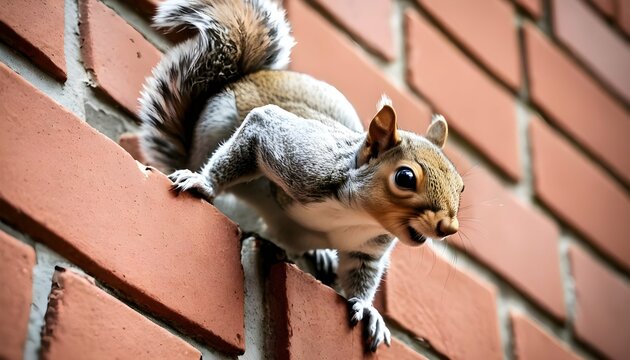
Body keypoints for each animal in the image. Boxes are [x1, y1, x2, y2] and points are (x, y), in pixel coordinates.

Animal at [138, 0, 464, 352]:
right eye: (405, 178)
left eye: (461, 186)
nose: (448, 228)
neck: (356, 214)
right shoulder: (301, 158)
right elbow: (261, 124)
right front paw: (204, 182)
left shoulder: (366, 248)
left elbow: (362, 273)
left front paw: (368, 310)